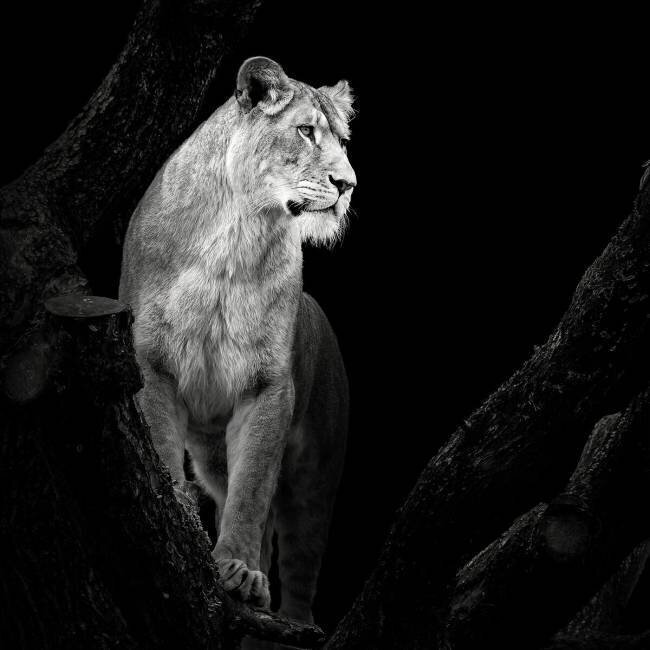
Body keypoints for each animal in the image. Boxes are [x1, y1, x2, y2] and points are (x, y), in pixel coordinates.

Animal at [119, 56, 355, 624]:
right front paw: (180, 516)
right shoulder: (151, 362)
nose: (348, 184)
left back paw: (291, 622)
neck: (238, 232)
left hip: (319, 471)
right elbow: (163, 450)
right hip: (211, 454)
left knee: (299, 558)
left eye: (343, 139)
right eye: (306, 131)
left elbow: (252, 491)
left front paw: (241, 572)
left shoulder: (268, 387)